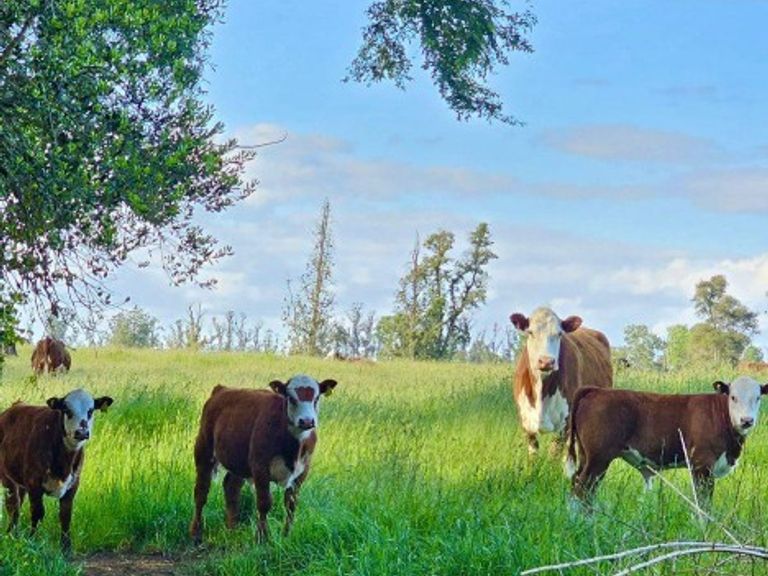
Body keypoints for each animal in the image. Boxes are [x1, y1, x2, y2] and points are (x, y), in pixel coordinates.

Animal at [0, 389, 113, 552]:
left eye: (91, 410)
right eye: (66, 409)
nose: (81, 432)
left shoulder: (73, 484)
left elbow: (65, 515)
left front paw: (66, 548)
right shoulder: (34, 483)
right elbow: (37, 513)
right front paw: (32, 541)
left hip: (20, 482)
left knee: (18, 504)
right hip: (7, 477)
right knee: (12, 506)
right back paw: (11, 534)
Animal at [189, 374, 338, 544]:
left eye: (316, 397)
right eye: (290, 397)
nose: (307, 421)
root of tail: (222, 389)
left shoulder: (303, 471)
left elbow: (291, 504)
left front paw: (286, 535)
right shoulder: (260, 467)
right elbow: (264, 503)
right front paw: (263, 538)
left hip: (238, 460)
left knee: (231, 487)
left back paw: (232, 529)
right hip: (203, 450)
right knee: (201, 491)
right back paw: (196, 532)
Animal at [566, 377, 767, 504]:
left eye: (758, 397)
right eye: (733, 397)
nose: (746, 420)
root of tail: (596, 391)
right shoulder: (702, 466)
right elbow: (703, 505)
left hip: (585, 456)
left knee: (576, 484)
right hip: (598, 459)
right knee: (583, 489)